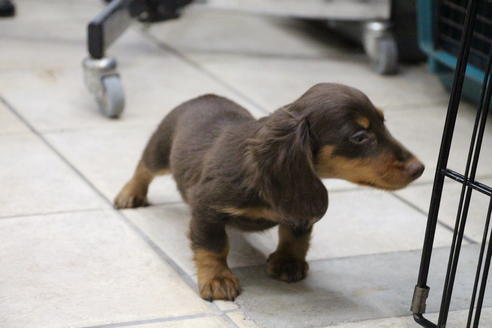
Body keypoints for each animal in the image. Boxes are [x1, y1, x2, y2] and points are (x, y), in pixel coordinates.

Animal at [114, 83, 422, 302]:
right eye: (359, 136)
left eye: (384, 123)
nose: (419, 168)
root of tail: (203, 96)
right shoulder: (207, 208)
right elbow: (213, 246)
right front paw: (217, 279)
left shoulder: (300, 209)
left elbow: (295, 237)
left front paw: (288, 262)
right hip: (161, 150)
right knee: (144, 166)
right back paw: (130, 194)